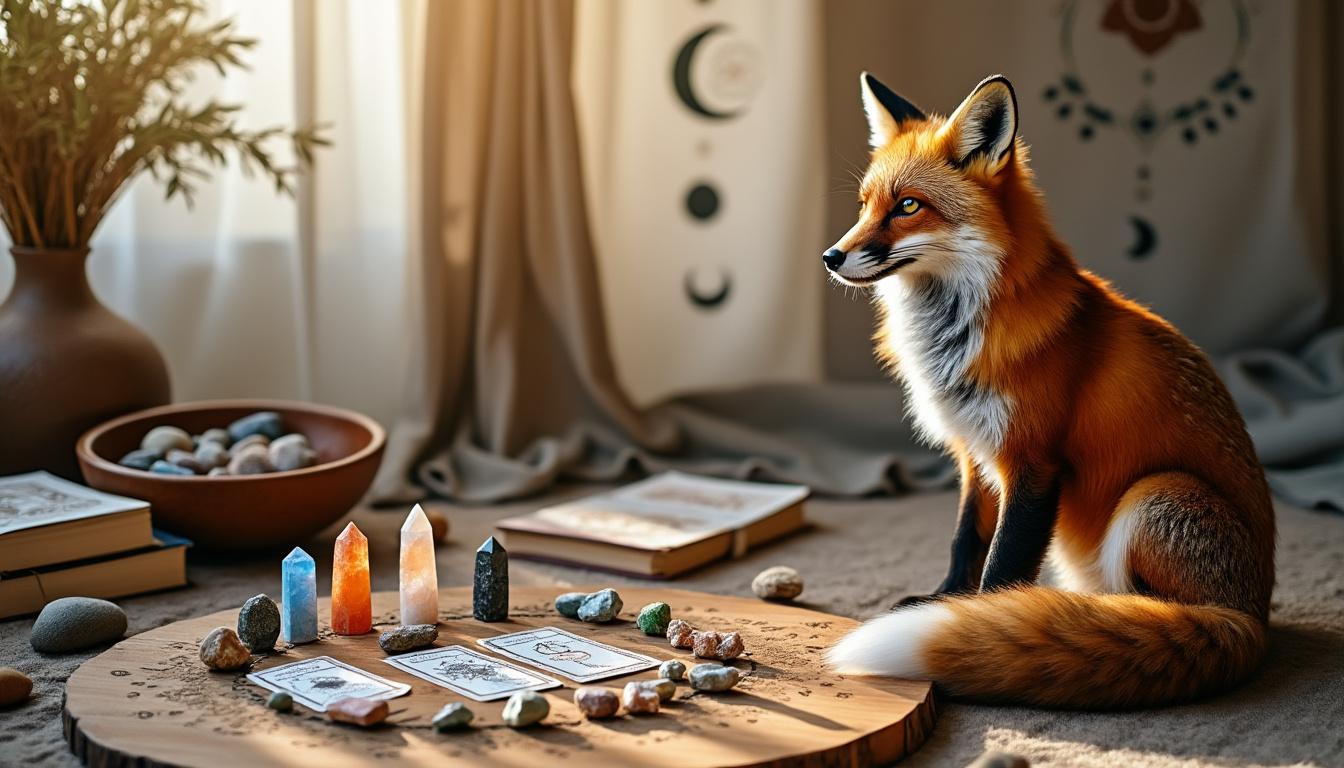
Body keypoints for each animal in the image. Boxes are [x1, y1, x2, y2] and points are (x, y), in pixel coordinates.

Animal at [822, 72, 1275, 709]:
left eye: (908, 206)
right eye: (864, 205)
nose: (831, 256)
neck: (952, 339)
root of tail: (1251, 618)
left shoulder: (1034, 462)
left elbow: (1002, 563)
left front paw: (978, 630)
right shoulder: (975, 455)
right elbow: (965, 542)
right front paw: (945, 602)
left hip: (1155, 495)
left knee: (1152, 606)